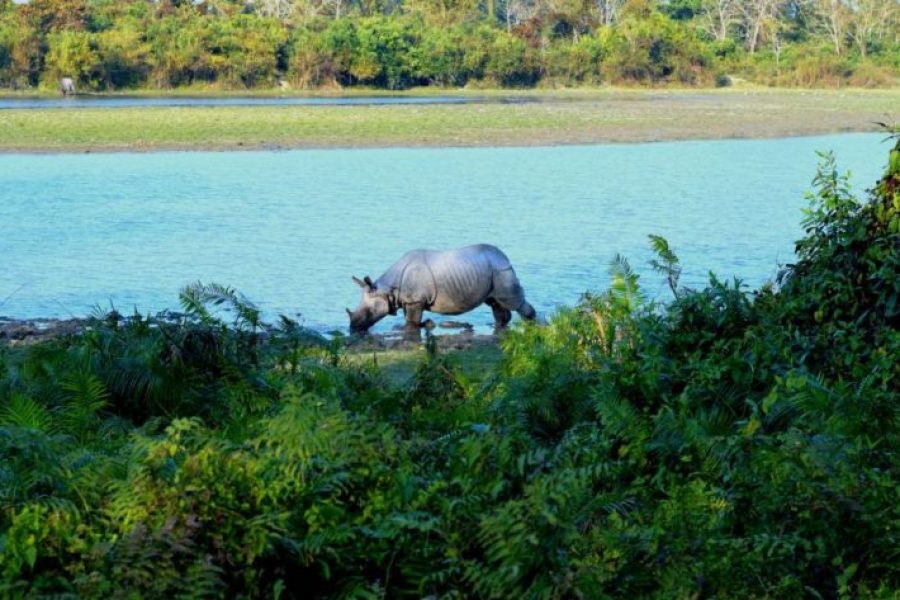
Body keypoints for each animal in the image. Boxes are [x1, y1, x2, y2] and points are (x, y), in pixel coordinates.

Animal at [348, 245, 536, 338]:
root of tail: (504, 257)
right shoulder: (409, 300)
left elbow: (412, 321)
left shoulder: (415, 300)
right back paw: (499, 328)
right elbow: (411, 320)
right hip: (492, 271)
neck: (387, 289)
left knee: (512, 301)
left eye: (369, 311)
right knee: (495, 302)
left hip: (501, 271)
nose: (353, 327)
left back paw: (532, 325)